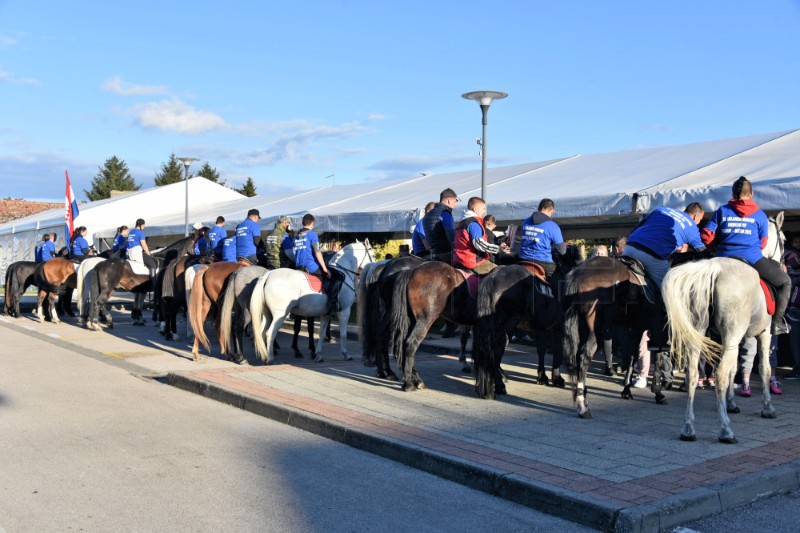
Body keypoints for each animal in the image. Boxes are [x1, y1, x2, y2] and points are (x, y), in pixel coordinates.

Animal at [660, 210, 784, 442]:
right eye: (784, 239)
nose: (782, 263)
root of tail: (712, 269)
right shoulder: (763, 334)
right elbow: (763, 368)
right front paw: (768, 408)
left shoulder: (734, 339)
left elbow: (734, 368)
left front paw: (732, 403)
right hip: (732, 335)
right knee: (719, 375)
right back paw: (726, 430)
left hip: (699, 333)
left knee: (693, 374)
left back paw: (688, 428)